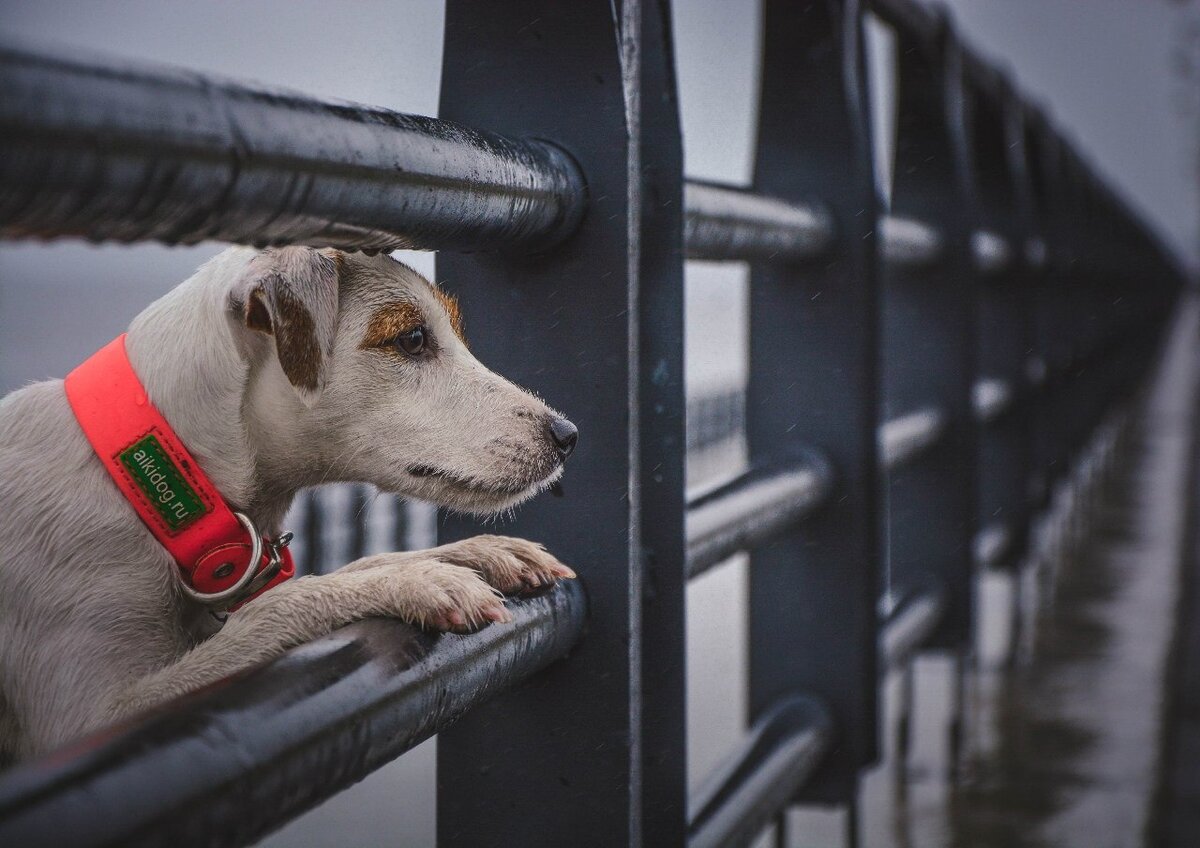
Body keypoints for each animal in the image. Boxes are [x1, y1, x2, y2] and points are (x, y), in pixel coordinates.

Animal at [0, 243, 580, 762]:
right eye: (412, 338)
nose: (567, 435)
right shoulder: (96, 718)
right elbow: (276, 605)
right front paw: (412, 581)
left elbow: (358, 562)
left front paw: (476, 553)